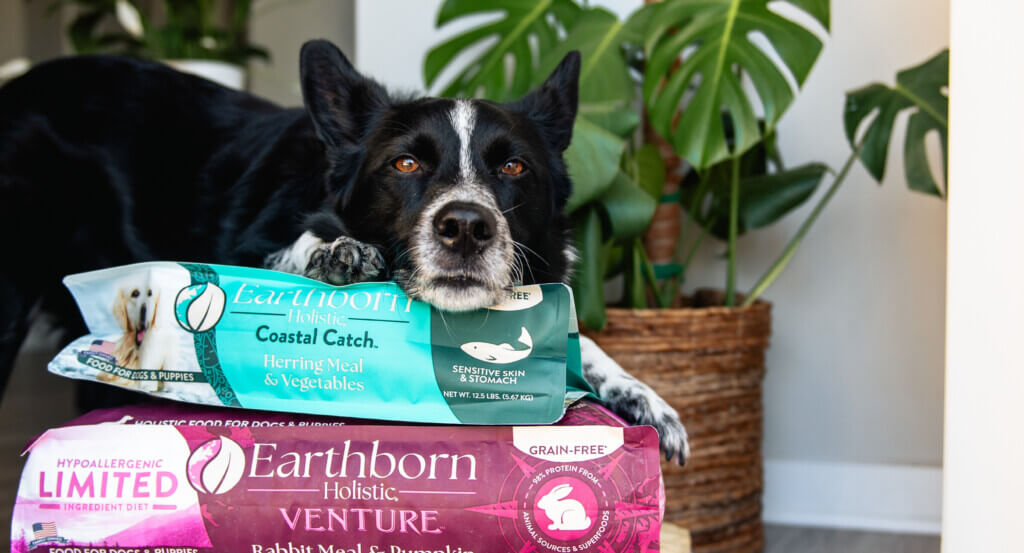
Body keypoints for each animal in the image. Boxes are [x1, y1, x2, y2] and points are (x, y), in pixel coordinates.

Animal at [2, 37, 688, 462]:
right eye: (406, 162)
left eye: (513, 166)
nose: (467, 227)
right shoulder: (253, 242)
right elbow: (300, 244)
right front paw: (340, 250)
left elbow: (576, 337)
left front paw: (640, 396)